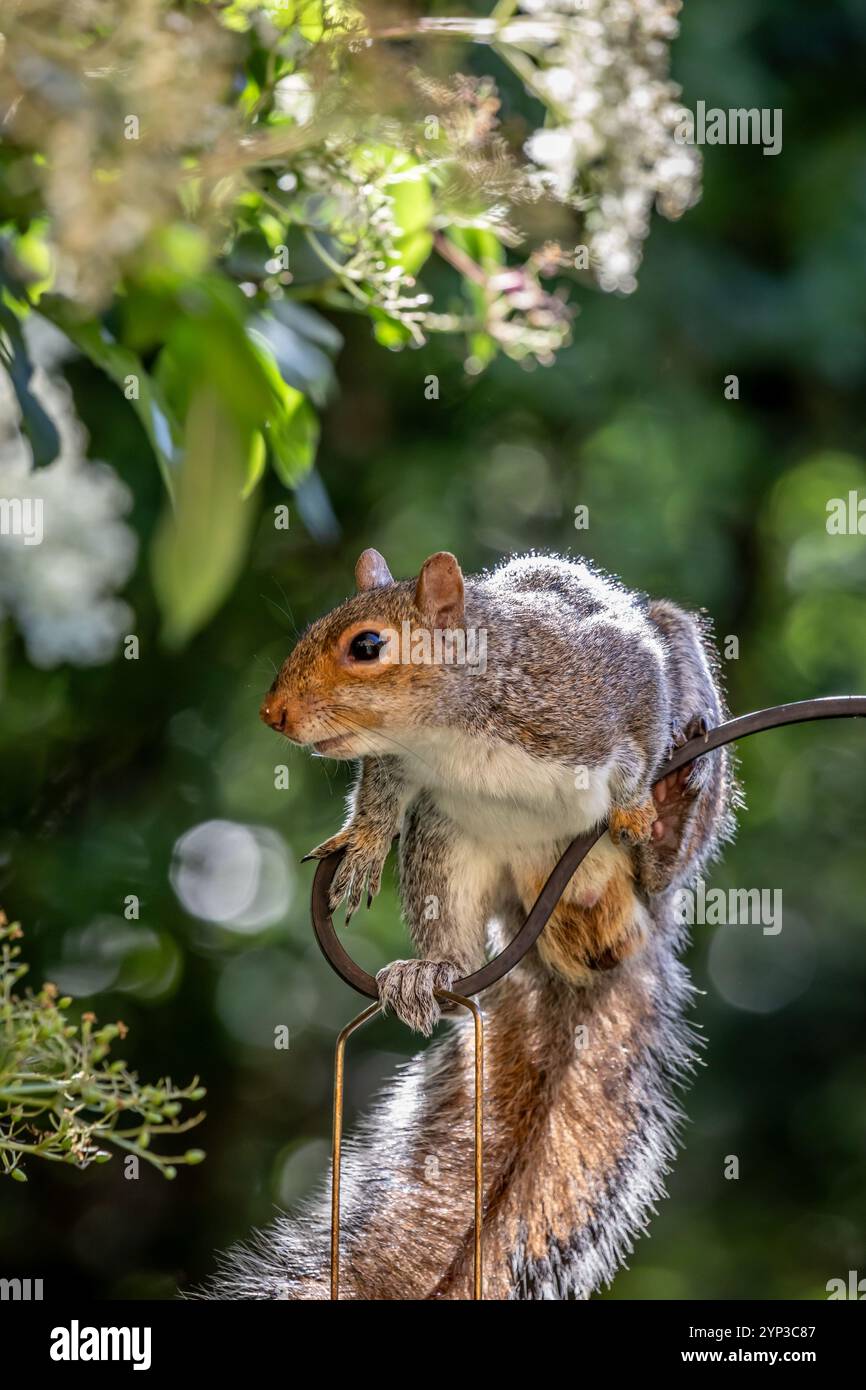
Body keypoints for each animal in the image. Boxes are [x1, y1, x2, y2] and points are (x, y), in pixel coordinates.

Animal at [207, 547, 733, 1295]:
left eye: (366, 646)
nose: (272, 713)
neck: (447, 727)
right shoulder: (400, 762)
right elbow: (379, 794)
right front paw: (363, 845)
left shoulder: (598, 677)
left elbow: (640, 711)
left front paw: (636, 800)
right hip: (445, 842)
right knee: (455, 953)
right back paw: (429, 973)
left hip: (675, 784)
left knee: (666, 860)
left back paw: (670, 811)